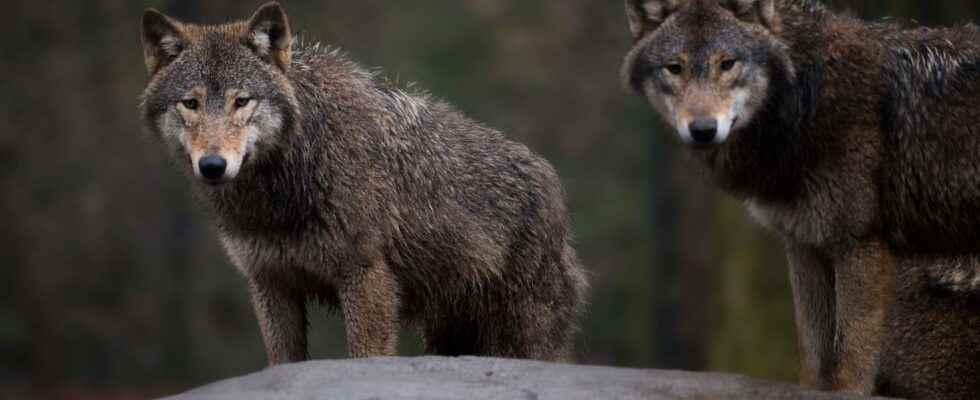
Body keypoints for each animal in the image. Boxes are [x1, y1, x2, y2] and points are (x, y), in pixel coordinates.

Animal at [136, 2, 580, 366]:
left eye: (241, 101)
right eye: (190, 104)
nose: (213, 165)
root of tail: (553, 182)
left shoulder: (365, 277)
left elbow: (366, 355)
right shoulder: (270, 283)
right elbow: (282, 362)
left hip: (518, 335)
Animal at [628, 0, 980, 400]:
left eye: (727, 63)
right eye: (675, 67)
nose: (703, 129)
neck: (805, 100)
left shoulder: (858, 244)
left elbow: (851, 365)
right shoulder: (803, 245)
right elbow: (813, 359)